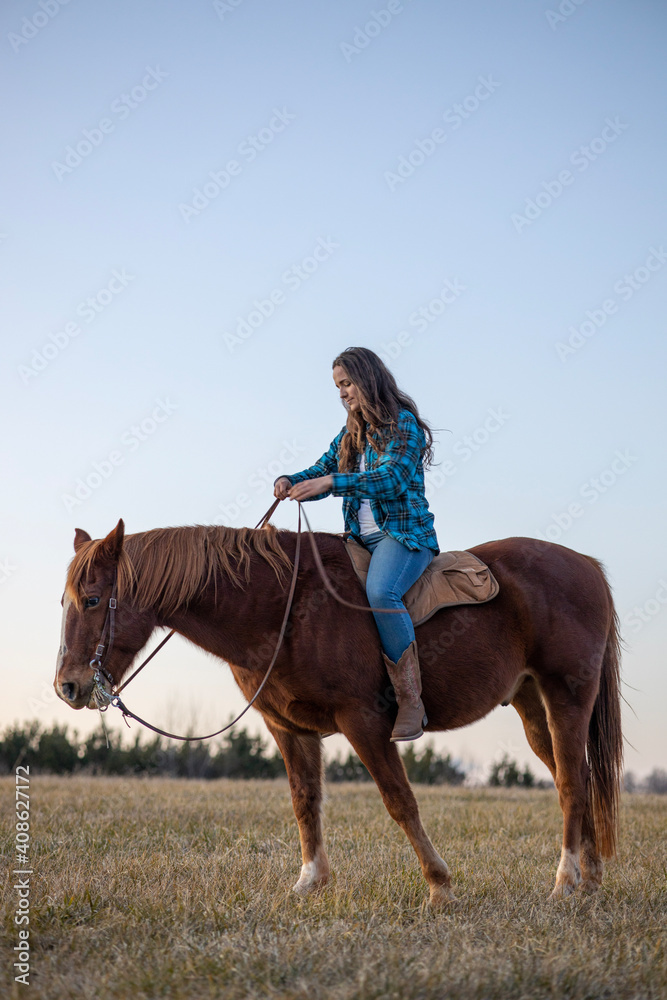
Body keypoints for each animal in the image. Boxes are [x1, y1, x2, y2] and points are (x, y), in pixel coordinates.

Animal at [54, 517, 623, 906]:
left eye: (92, 599)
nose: (68, 686)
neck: (283, 608)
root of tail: (587, 566)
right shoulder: (287, 728)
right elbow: (305, 801)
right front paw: (310, 882)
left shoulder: (363, 722)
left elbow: (400, 802)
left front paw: (439, 886)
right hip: (531, 704)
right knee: (578, 776)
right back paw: (590, 880)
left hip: (566, 696)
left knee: (571, 782)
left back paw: (566, 881)